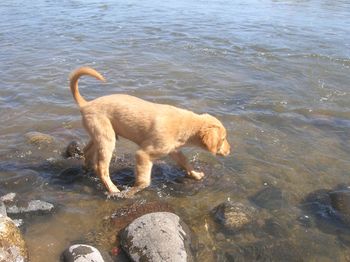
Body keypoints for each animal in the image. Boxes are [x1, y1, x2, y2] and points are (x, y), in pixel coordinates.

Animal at [69, 66, 231, 198]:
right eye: (223, 139)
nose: (230, 151)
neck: (185, 125)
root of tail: (86, 105)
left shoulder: (173, 150)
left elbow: (186, 163)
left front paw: (196, 175)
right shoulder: (144, 154)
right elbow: (144, 181)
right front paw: (130, 192)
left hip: (101, 134)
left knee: (87, 151)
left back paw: (87, 168)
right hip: (107, 138)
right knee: (102, 168)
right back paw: (114, 190)